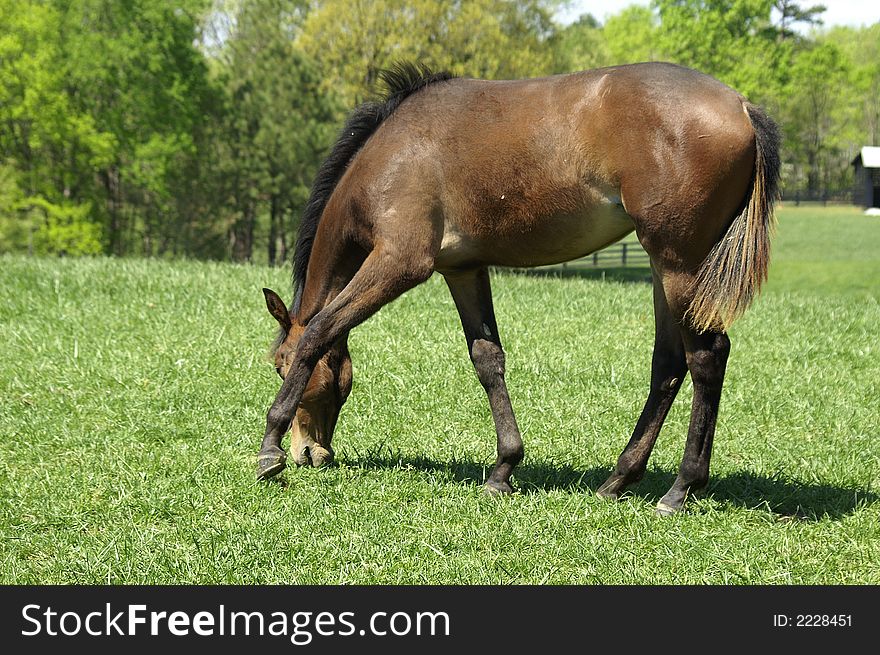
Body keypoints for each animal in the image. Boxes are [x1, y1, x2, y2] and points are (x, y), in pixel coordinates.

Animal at [258, 61, 780, 516]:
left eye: (280, 366)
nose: (310, 453)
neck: (393, 151)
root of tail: (741, 106)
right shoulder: (463, 269)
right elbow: (487, 360)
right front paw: (503, 468)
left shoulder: (399, 263)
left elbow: (318, 331)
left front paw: (270, 448)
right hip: (663, 268)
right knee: (668, 365)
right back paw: (617, 480)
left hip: (678, 265)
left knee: (706, 357)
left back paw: (680, 489)